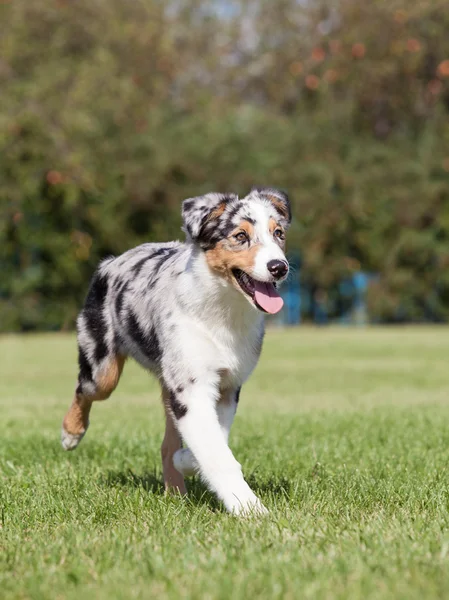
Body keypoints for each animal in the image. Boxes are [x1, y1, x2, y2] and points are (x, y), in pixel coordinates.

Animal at [62, 189, 290, 516]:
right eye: (240, 236)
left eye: (279, 233)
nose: (279, 267)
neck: (223, 309)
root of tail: (111, 260)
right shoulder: (192, 388)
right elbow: (218, 454)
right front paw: (250, 510)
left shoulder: (226, 387)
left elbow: (211, 443)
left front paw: (186, 462)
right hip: (103, 368)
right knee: (85, 389)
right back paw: (71, 434)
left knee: (166, 444)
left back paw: (176, 492)